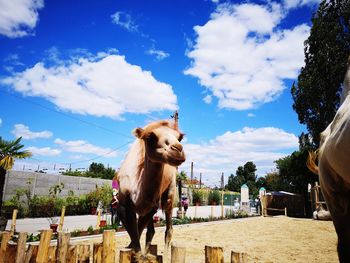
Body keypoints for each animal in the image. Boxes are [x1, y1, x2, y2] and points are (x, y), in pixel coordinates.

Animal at [115, 121, 186, 256]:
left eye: (179, 137)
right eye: (149, 137)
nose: (178, 149)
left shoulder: (152, 206)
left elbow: (138, 233)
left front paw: (140, 254)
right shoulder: (123, 205)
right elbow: (135, 235)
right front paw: (133, 250)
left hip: (170, 192)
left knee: (168, 228)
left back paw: (165, 254)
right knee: (150, 231)